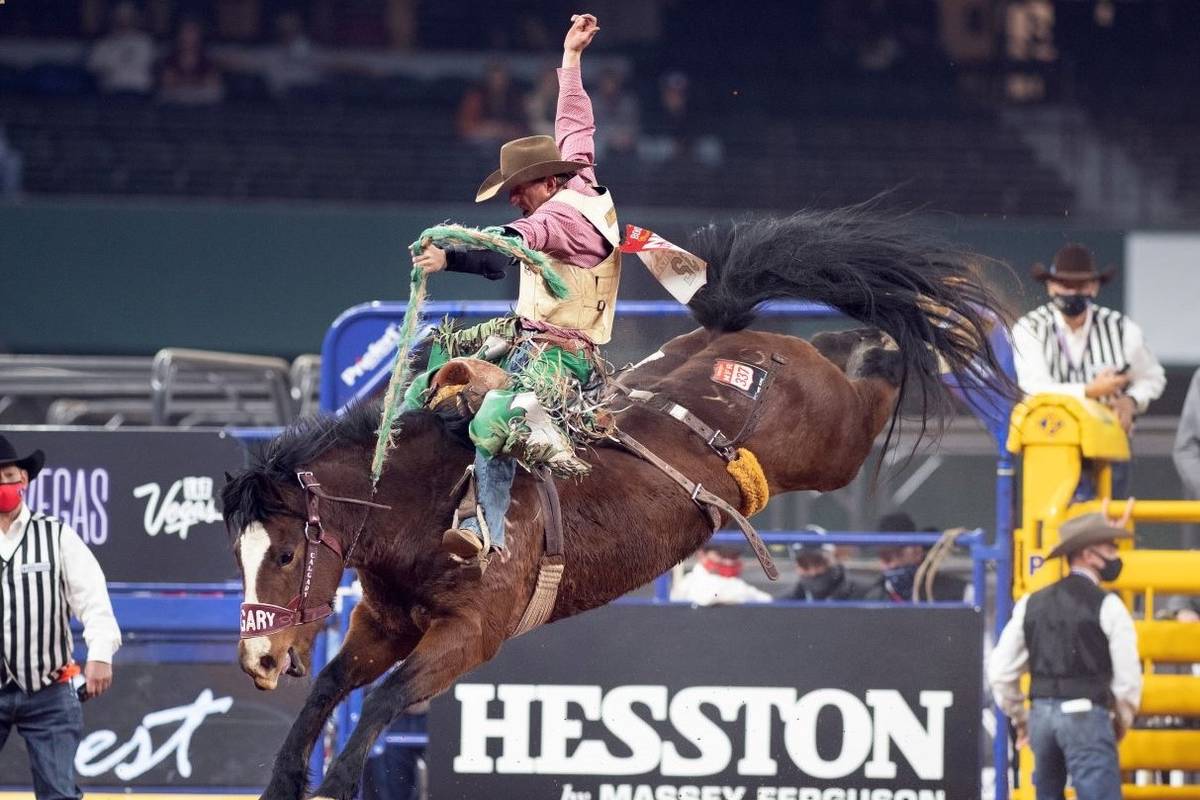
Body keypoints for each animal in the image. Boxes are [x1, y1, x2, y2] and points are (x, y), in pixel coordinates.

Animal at [218, 209, 1012, 796]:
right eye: (238, 555)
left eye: (284, 553)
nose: (258, 658)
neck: (430, 509)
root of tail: (741, 344)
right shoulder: (382, 623)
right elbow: (330, 685)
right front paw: (285, 780)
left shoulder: (469, 635)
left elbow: (383, 699)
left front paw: (334, 785)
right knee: (846, 338)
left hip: (835, 442)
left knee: (875, 370)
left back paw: (913, 330)